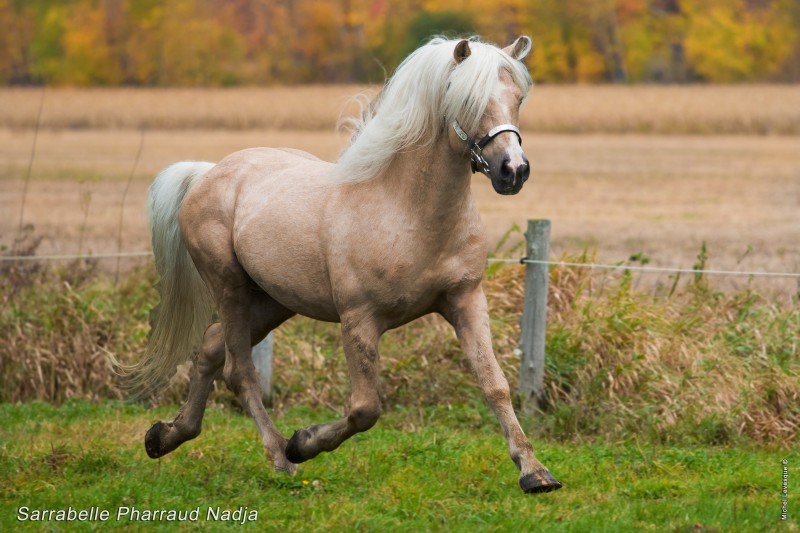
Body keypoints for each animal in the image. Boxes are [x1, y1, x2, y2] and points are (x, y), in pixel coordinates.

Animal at [125, 36, 564, 494]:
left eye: (518, 98)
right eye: (467, 100)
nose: (513, 170)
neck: (407, 212)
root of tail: (209, 173)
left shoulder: (466, 300)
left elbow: (494, 385)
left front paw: (535, 472)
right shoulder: (360, 320)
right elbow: (365, 408)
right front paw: (303, 442)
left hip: (274, 301)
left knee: (211, 347)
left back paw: (165, 436)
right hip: (229, 288)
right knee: (239, 370)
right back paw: (281, 458)